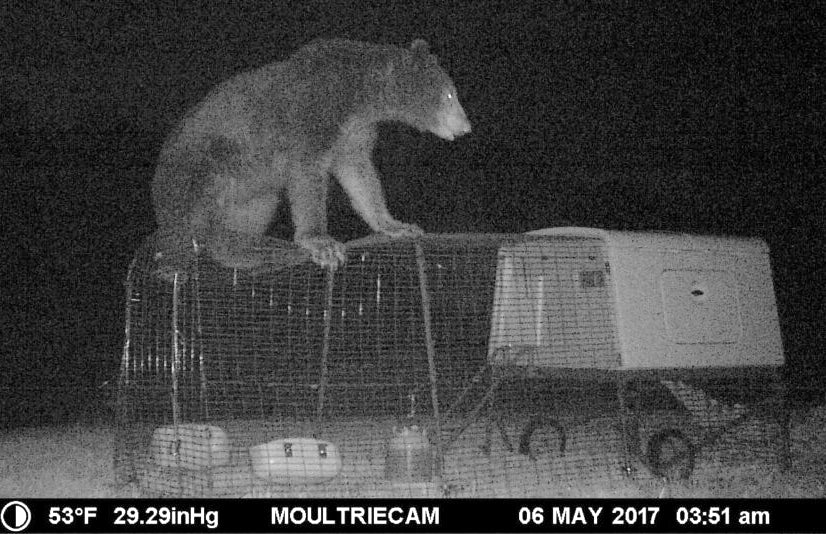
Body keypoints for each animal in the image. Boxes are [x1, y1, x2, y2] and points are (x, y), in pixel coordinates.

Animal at [151, 38, 471, 277]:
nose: (466, 126)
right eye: (450, 95)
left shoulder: (353, 135)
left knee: (258, 208)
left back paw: (247, 250)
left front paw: (397, 225)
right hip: (205, 163)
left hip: (253, 191)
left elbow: (360, 176)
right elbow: (308, 176)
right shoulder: (314, 114)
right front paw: (322, 243)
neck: (360, 98)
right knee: (198, 205)